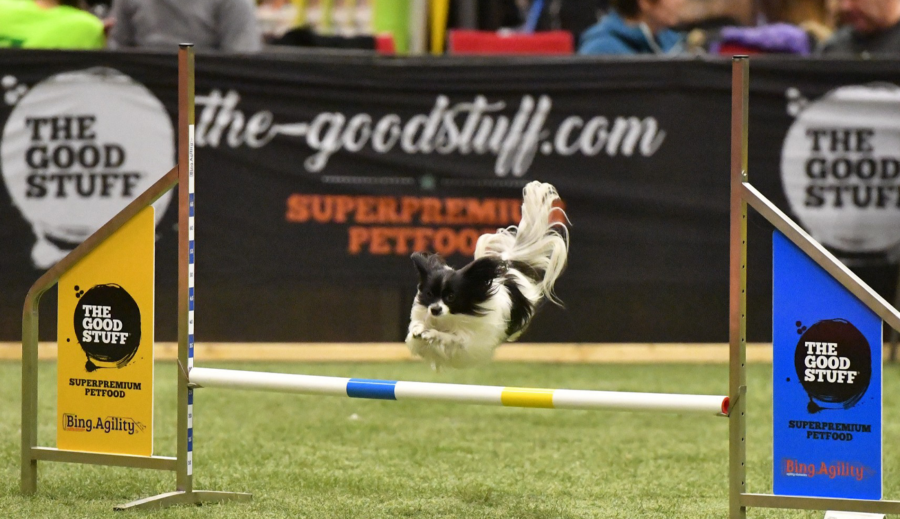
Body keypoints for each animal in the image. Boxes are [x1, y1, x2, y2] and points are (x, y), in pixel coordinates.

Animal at [405, 181, 569, 369]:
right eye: (429, 294)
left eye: (451, 297)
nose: (435, 309)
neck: (453, 316)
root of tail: (511, 265)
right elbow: (416, 329)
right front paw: (419, 329)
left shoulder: (467, 342)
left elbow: (450, 337)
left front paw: (432, 334)